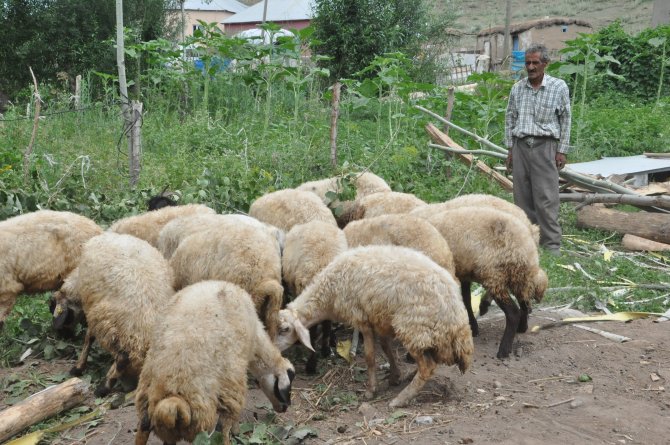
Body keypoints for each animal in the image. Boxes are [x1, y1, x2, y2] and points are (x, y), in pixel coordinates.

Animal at [52, 231, 176, 394]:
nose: (62, 336)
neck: (76, 284)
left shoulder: (93, 310)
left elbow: (88, 338)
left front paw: (78, 367)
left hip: (111, 322)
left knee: (122, 358)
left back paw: (104, 387)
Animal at [134, 280, 296, 444]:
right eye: (286, 387)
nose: (285, 407)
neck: (258, 342)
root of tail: (173, 396)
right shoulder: (234, 381)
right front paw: (236, 431)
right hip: (208, 412)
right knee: (222, 429)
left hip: (146, 400)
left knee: (143, 431)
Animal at [276, 245, 476, 408]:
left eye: (285, 329)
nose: (275, 351)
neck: (328, 297)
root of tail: (458, 321)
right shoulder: (380, 320)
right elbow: (386, 348)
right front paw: (395, 376)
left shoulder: (362, 318)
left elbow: (370, 357)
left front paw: (371, 390)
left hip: (414, 328)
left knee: (428, 367)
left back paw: (401, 399)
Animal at [428, 207, 548, 358]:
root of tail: (526, 248)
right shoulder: (464, 272)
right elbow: (466, 299)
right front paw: (473, 327)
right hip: (518, 278)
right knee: (525, 304)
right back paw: (521, 328)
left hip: (495, 275)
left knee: (513, 312)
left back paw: (503, 350)